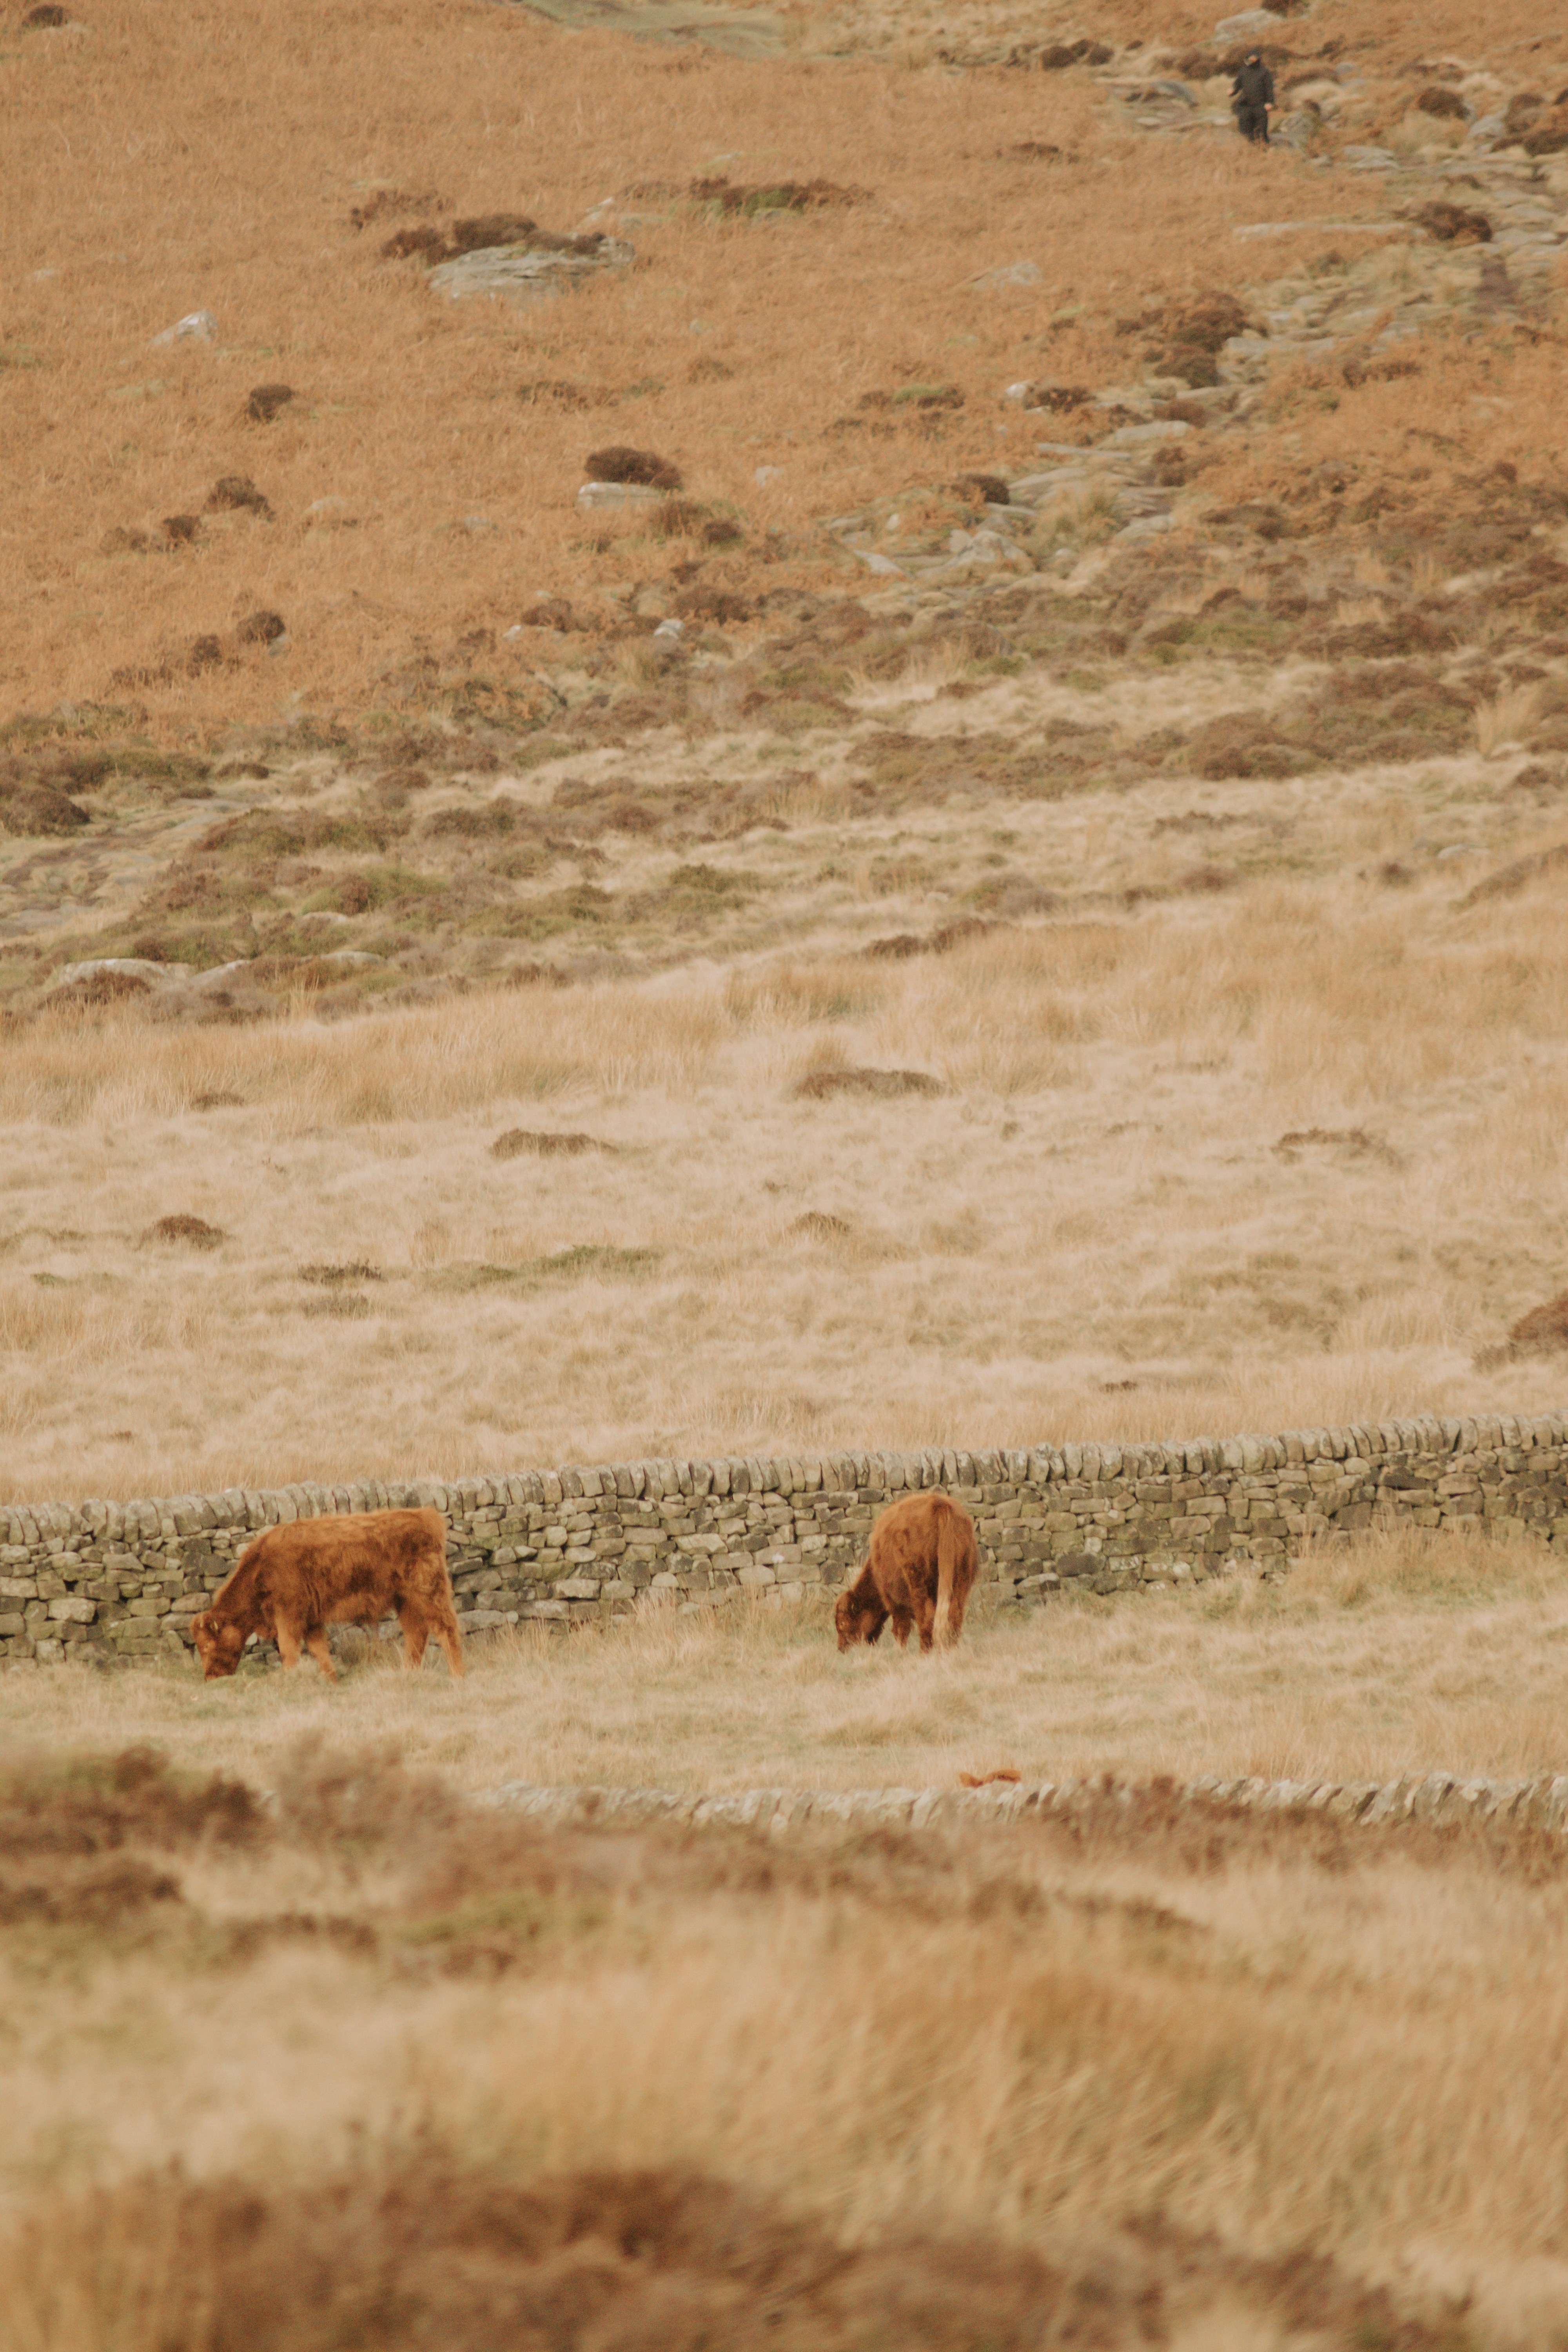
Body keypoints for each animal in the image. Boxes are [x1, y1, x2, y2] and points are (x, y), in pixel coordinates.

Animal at [190, 1507, 464, 1682]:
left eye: (206, 1645)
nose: (209, 1677)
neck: (263, 1566)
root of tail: (423, 1515)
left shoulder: (289, 1615)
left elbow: (289, 1650)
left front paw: (288, 1681)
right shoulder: (312, 1619)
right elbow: (319, 1649)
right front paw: (331, 1680)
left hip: (429, 1592)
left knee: (446, 1628)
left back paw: (456, 1675)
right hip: (405, 1600)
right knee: (416, 1633)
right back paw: (409, 1674)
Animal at [833, 1491, 979, 1654]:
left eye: (843, 1623)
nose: (841, 1648)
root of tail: (939, 1504)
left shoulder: (894, 1601)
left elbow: (900, 1628)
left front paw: (899, 1652)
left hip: (917, 1584)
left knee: (927, 1618)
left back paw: (924, 1653)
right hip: (961, 1580)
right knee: (954, 1616)